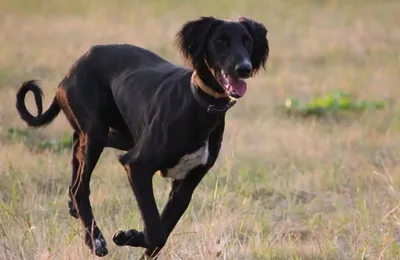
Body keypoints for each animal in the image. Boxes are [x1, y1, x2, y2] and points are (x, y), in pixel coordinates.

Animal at [16, 15, 268, 258]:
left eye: (247, 41)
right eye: (220, 41)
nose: (244, 68)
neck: (199, 104)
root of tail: (73, 68)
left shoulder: (187, 183)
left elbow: (162, 231)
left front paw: (131, 237)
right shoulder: (137, 165)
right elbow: (156, 231)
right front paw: (127, 237)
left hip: (119, 134)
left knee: (78, 148)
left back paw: (73, 205)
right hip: (97, 131)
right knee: (81, 187)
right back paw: (95, 240)